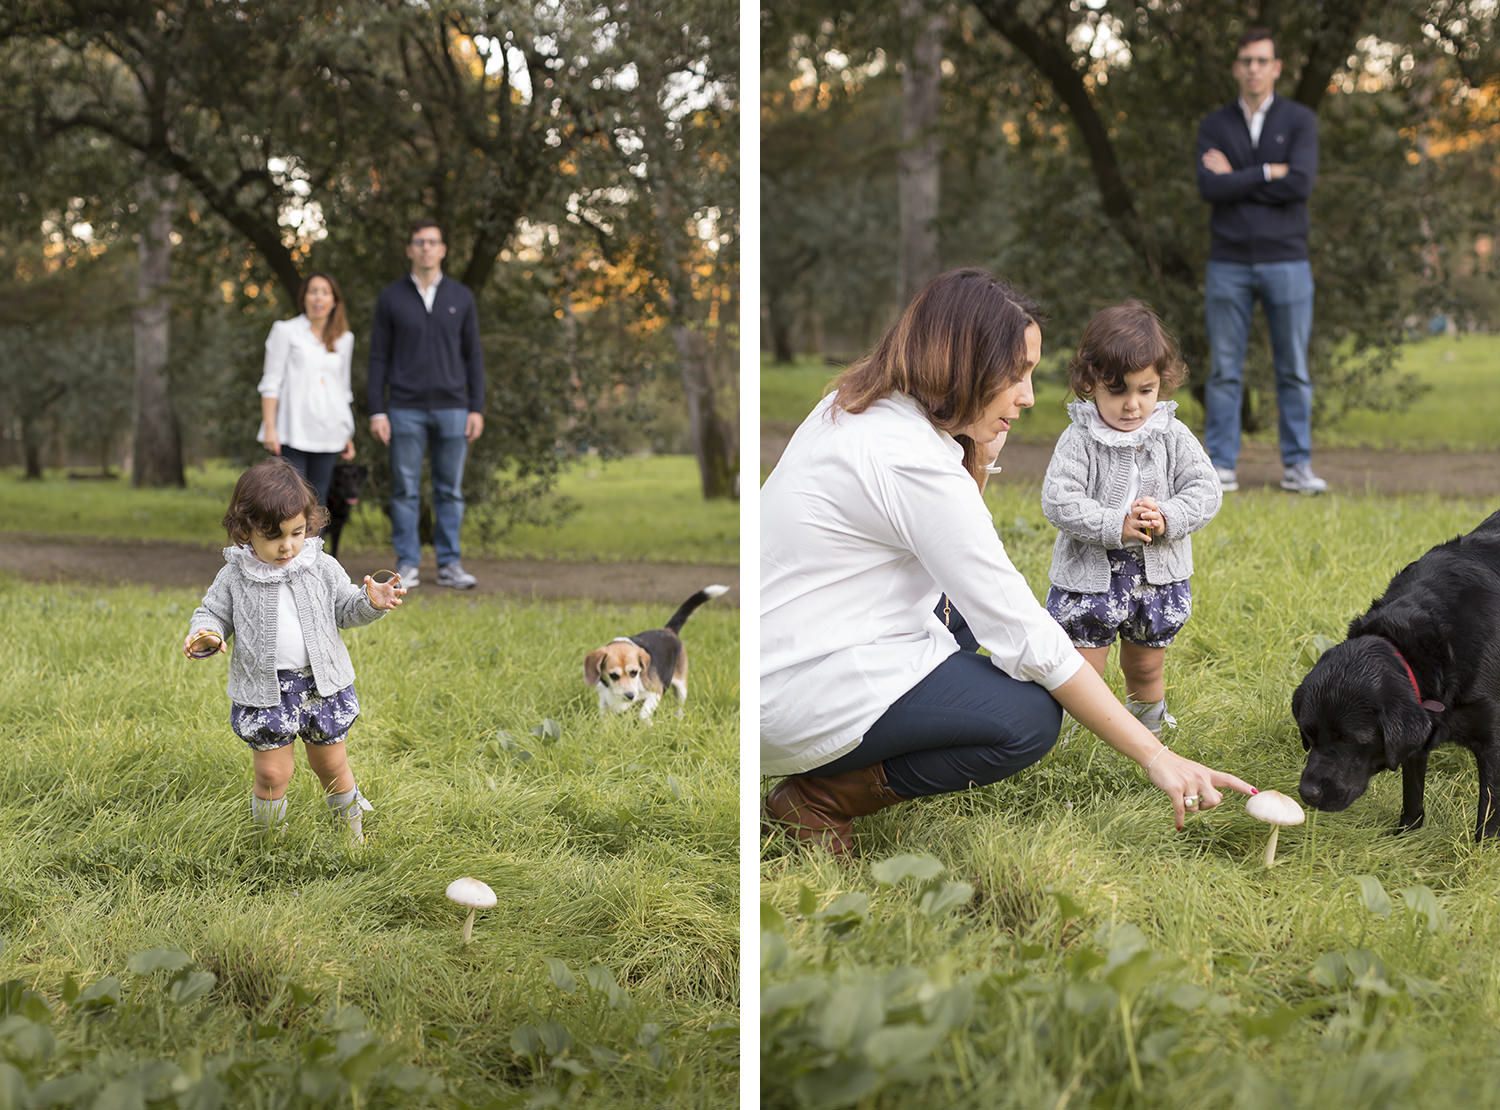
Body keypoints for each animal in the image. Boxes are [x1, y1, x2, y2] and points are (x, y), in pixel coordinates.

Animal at [582, 585, 729, 723]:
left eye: (634, 672)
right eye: (613, 675)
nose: (630, 696)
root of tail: (668, 630)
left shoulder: (655, 692)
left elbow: (643, 714)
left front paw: (648, 724)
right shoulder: (603, 700)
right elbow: (605, 718)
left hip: (681, 688)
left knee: (679, 706)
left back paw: (678, 719)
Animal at [1290, 513, 1500, 840]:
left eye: (1352, 739)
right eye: (1307, 735)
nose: (1307, 792)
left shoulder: (1492, 740)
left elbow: (1487, 810)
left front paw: (1480, 848)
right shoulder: (1420, 732)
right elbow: (1412, 792)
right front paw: (1405, 835)